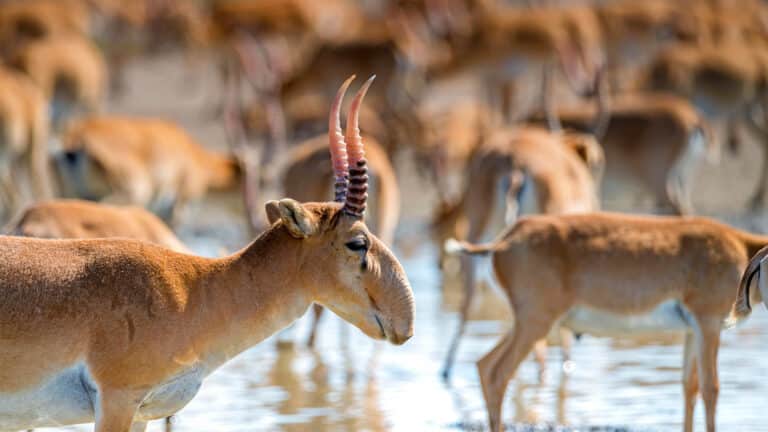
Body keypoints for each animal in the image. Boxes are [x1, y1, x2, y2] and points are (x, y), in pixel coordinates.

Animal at [444, 213, 768, 432]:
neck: (742, 246)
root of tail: (504, 240)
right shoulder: (708, 324)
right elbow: (712, 389)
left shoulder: (692, 331)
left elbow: (689, 387)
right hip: (536, 323)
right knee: (498, 373)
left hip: (527, 323)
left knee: (484, 365)